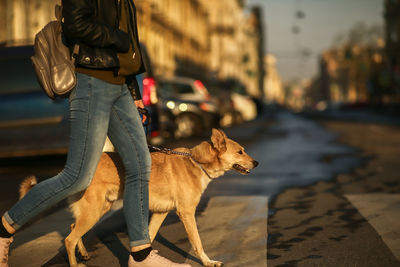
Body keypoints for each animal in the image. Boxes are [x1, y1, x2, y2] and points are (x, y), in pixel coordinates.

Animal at [21, 129, 260, 266]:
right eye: (240, 152)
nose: (257, 163)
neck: (196, 162)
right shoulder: (186, 213)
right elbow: (197, 242)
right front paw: (208, 262)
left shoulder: (161, 212)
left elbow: (149, 236)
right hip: (94, 211)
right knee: (69, 239)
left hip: (99, 209)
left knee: (72, 228)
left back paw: (84, 254)